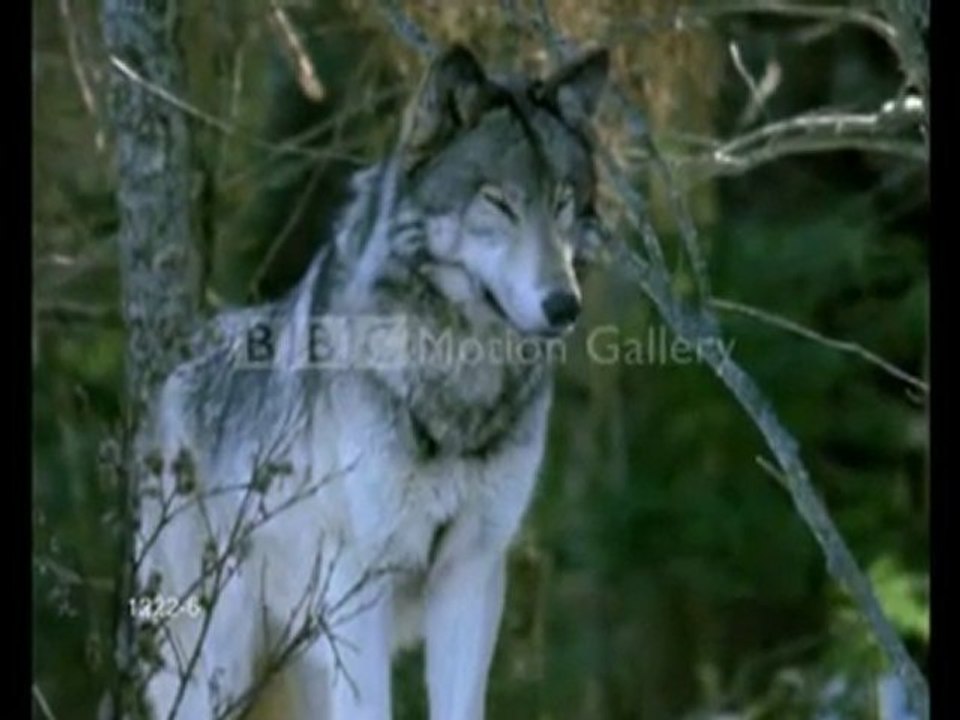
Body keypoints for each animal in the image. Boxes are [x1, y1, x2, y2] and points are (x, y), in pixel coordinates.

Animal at [138, 45, 610, 720]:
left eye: (565, 202)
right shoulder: (358, 580)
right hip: (217, 664)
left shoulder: (472, 573)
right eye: (498, 201)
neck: (460, 376)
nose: (563, 305)